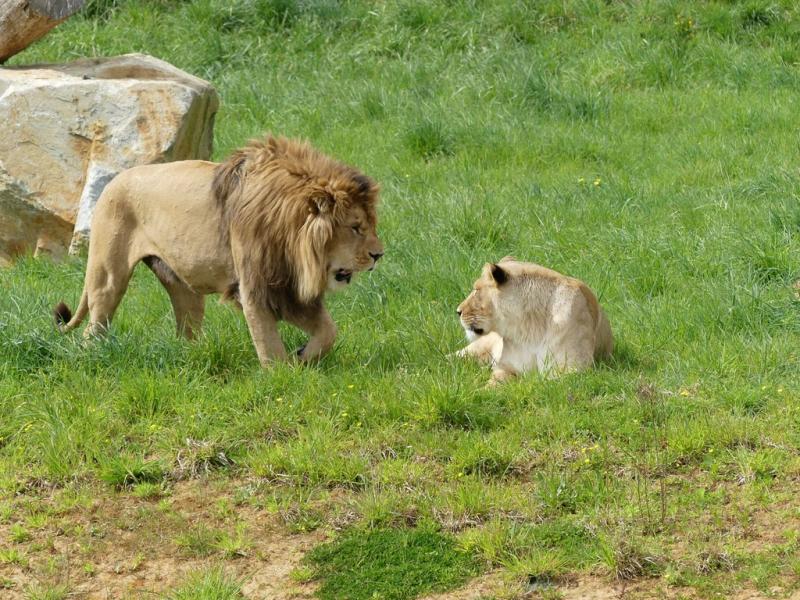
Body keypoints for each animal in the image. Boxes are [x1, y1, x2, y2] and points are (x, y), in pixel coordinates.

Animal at [54, 135, 384, 365]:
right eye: (355, 227)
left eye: (370, 224)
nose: (379, 255)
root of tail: (113, 182)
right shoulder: (257, 286)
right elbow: (268, 343)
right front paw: (282, 375)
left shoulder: (287, 289)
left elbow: (328, 331)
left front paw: (303, 356)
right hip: (107, 277)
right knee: (92, 329)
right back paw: (89, 358)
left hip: (185, 290)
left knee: (185, 332)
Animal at [455, 257, 612, 385]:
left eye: (476, 290)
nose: (458, 311)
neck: (527, 329)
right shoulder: (505, 366)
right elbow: (494, 382)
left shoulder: (574, 369)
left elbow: (538, 382)